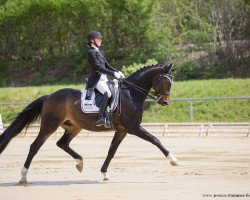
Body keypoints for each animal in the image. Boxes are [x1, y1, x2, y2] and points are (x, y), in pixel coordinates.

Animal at [0, 63, 179, 184]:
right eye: (165, 82)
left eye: (171, 82)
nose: (165, 102)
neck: (130, 94)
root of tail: (49, 96)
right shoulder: (133, 128)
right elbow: (155, 139)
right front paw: (173, 160)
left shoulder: (122, 130)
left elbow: (111, 151)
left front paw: (104, 173)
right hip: (49, 126)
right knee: (35, 146)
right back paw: (23, 177)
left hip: (74, 127)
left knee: (62, 143)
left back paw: (80, 163)